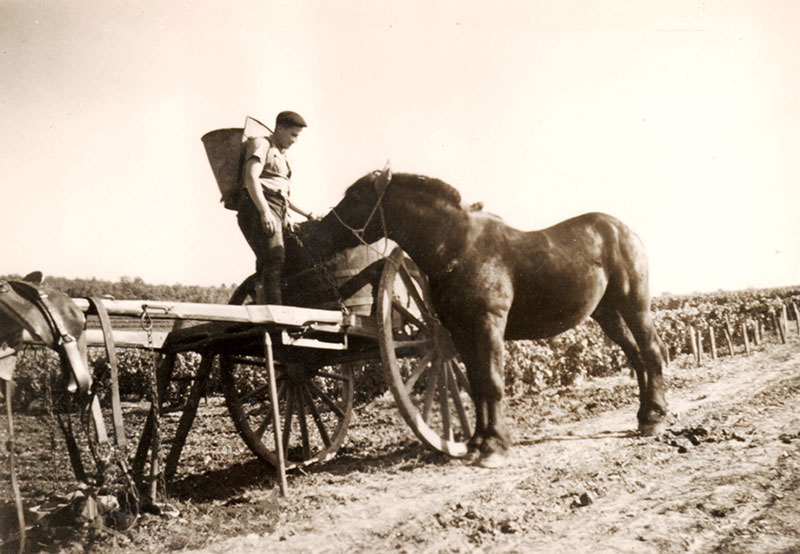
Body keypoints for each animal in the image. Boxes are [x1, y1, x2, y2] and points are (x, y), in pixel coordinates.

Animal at [304, 169, 664, 466]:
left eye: (356, 197)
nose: (314, 234)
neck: (459, 248)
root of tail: (623, 230)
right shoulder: (460, 334)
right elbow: (476, 385)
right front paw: (477, 441)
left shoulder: (487, 325)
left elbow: (492, 382)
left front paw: (495, 447)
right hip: (608, 314)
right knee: (637, 358)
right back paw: (644, 415)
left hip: (634, 306)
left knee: (652, 352)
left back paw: (655, 419)